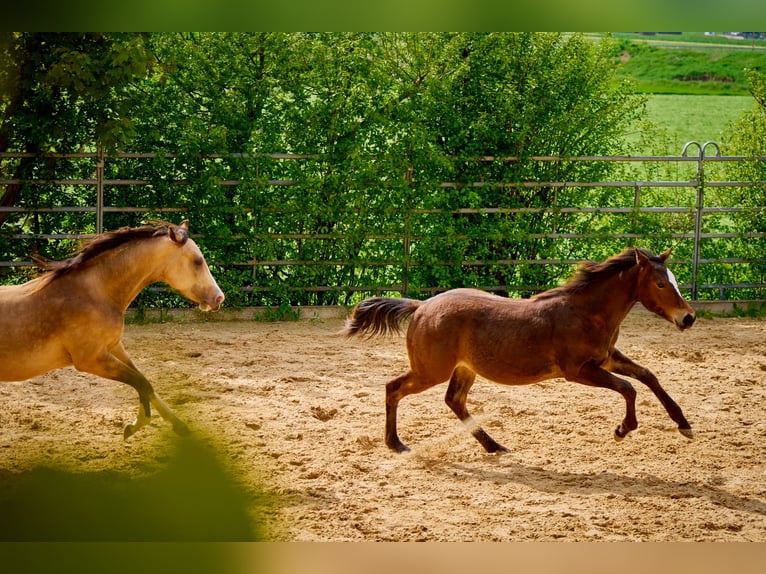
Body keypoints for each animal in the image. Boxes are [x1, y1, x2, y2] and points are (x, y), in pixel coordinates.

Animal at [0, 223, 225, 438]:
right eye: (197, 261)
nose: (219, 298)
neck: (95, 294)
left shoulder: (113, 347)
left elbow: (145, 382)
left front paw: (178, 426)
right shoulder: (91, 360)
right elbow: (141, 382)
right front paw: (136, 425)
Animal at [344, 250, 700, 456]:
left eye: (673, 280)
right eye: (660, 284)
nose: (688, 318)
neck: (586, 312)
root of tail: (421, 306)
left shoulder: (607, 358)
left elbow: (648, 376)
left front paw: (684, 424)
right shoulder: (579, 370)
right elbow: (628, 388)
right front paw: (622, 430)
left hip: (464, 368)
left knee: (454, 401)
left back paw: (494, 446)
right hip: (430, 370)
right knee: (393, 388)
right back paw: (396, 444)